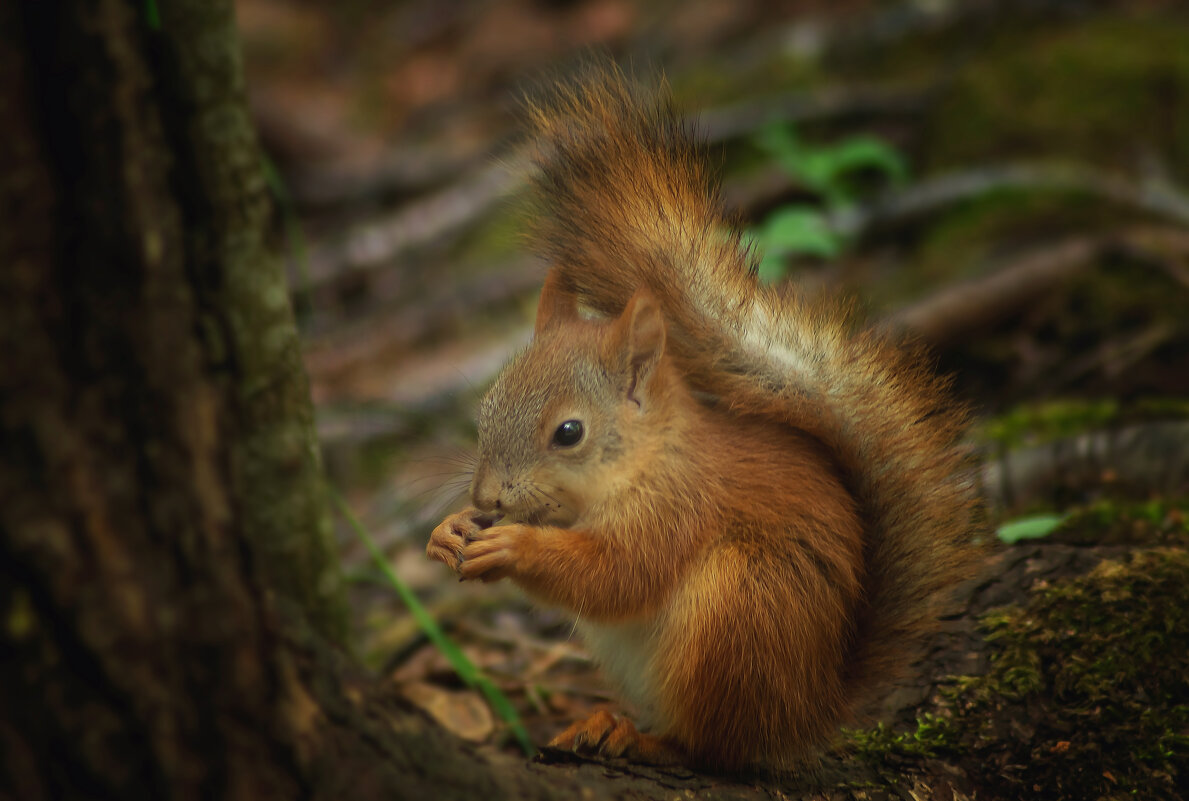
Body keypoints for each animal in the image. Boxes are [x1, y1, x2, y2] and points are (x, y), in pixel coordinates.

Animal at [423, 67, 979, 765]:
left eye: (569, 433)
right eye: (487, 407)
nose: (487, 498)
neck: (642, 462)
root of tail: (810, 712)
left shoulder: (680, 507)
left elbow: (616, 576)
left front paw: (513, 545)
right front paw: (449, 531)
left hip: (738, 610)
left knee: (717, 747)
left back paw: (648, 741)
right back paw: (601, 723)